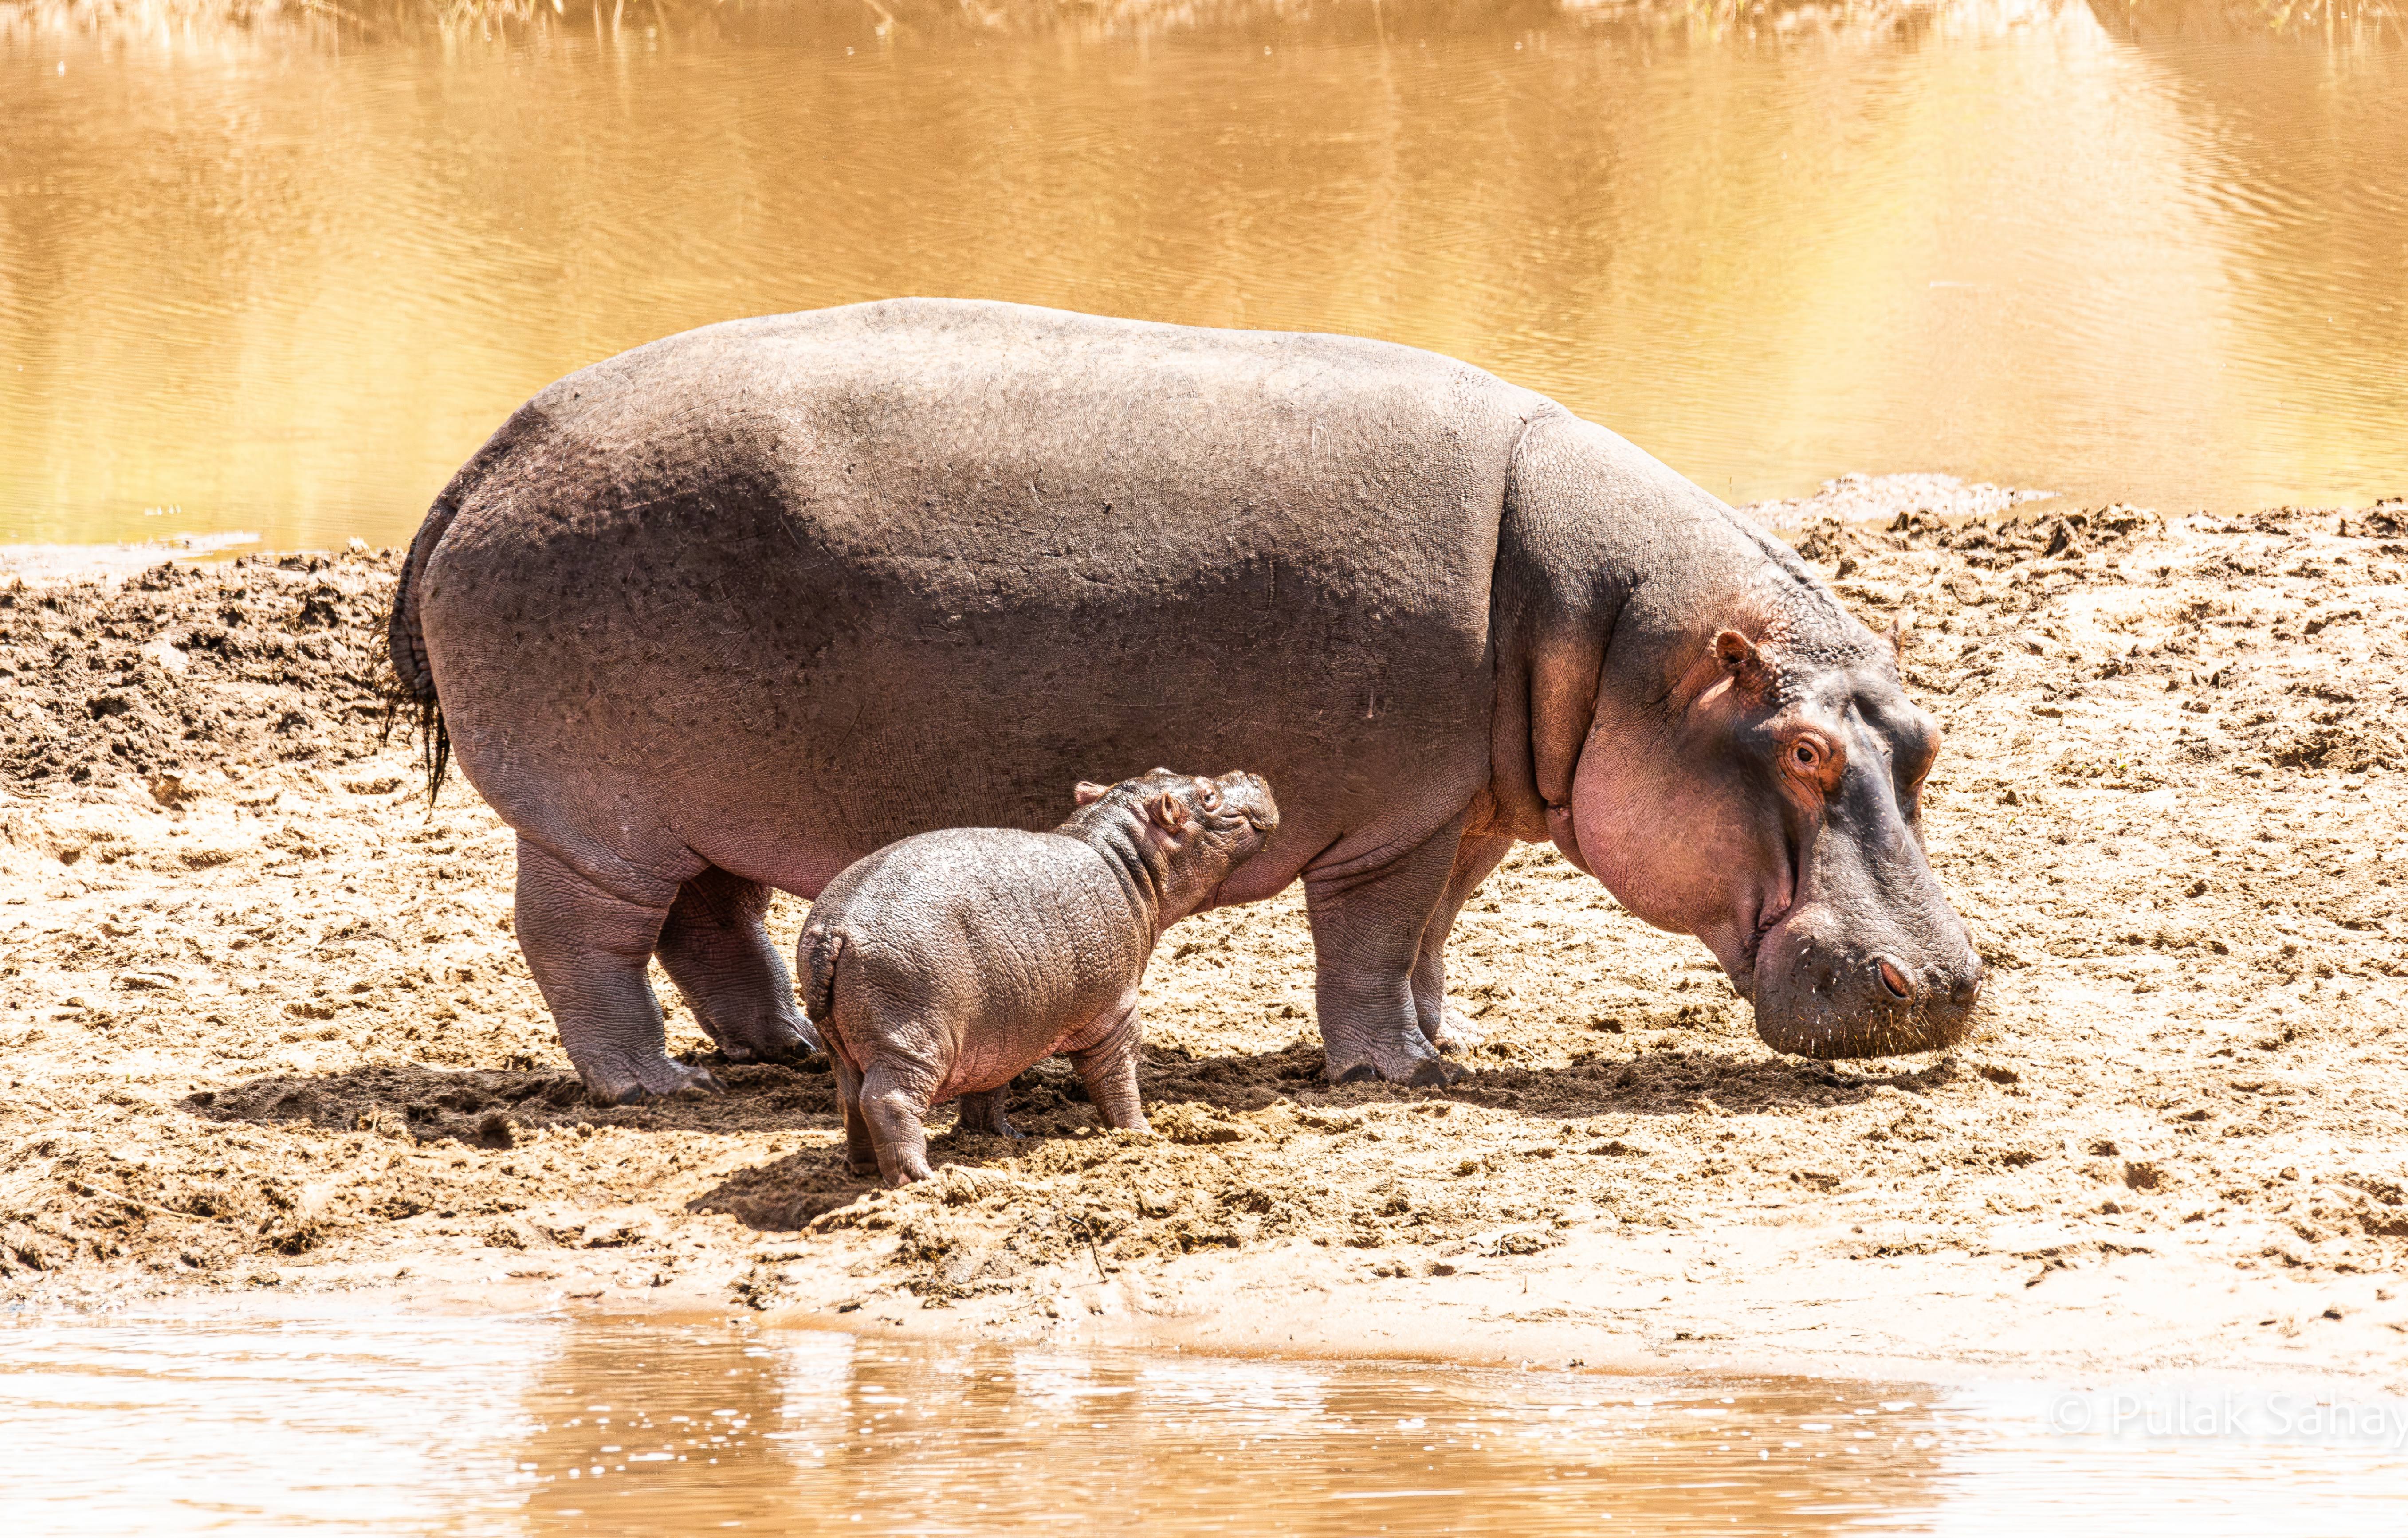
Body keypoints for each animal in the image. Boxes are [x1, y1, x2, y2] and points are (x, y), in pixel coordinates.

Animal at [388, 298, 1983, 1104]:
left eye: (1922, 737)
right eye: (1795, 747)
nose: (1951, 983)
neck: (1611, 634)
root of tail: (488, 451)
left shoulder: (1461, 810)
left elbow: (1434, 935)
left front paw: (1444, 1040)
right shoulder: (1392, 821)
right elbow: (1371, 942)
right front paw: (1390, 1069)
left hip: (699, 799)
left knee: (711, 923)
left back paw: (774, 1045)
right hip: (594, 818)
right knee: (582, 945)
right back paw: (649, 1086)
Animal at [801, 768, 1278, 1185]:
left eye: (1162, 769)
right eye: (1208, 797)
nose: (1251, 773)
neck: (1128, 859)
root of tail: (833, 928)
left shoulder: (999, 1031)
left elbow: (989, 1087)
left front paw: (1004, 1137)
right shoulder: (1114, 1013)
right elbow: (1117, 1075)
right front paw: (1141, 1135)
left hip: (846, 1044)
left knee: (850, 1100)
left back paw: (864, 1169)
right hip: (911, 1038)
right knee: (888, 1100)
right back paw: (920, 1179)